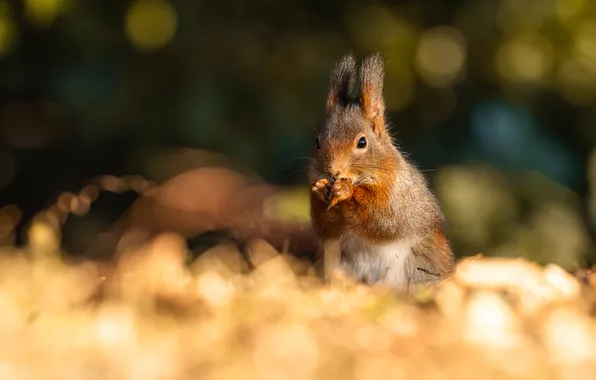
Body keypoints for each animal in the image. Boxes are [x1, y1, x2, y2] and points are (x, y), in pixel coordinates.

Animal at [308, 52, 456, 290]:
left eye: (362, 142)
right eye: (317, 142)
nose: (332, 172)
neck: (361, 179)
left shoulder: (398, 193)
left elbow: (384, 217)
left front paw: (347, 192)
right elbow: (326, 229)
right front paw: (320, 188)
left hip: (421, 266)